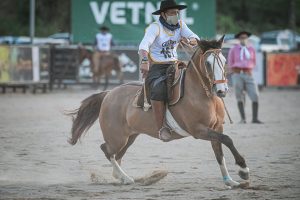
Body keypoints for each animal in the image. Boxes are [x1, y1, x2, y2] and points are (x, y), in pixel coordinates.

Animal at [67, 36, 248, 189]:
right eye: (208, 63)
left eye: (224, 60)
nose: (222, 90)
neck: (200, 94)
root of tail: (108, 93)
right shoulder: (199, 130)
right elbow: (228, 139)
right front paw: (243, 169)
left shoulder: (216, 128)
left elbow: (220, 152)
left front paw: (230, 181)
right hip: (117, 137)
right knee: (106, 150)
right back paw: (126, 178)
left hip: (130, 137)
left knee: (117, 155)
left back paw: (121, 177)